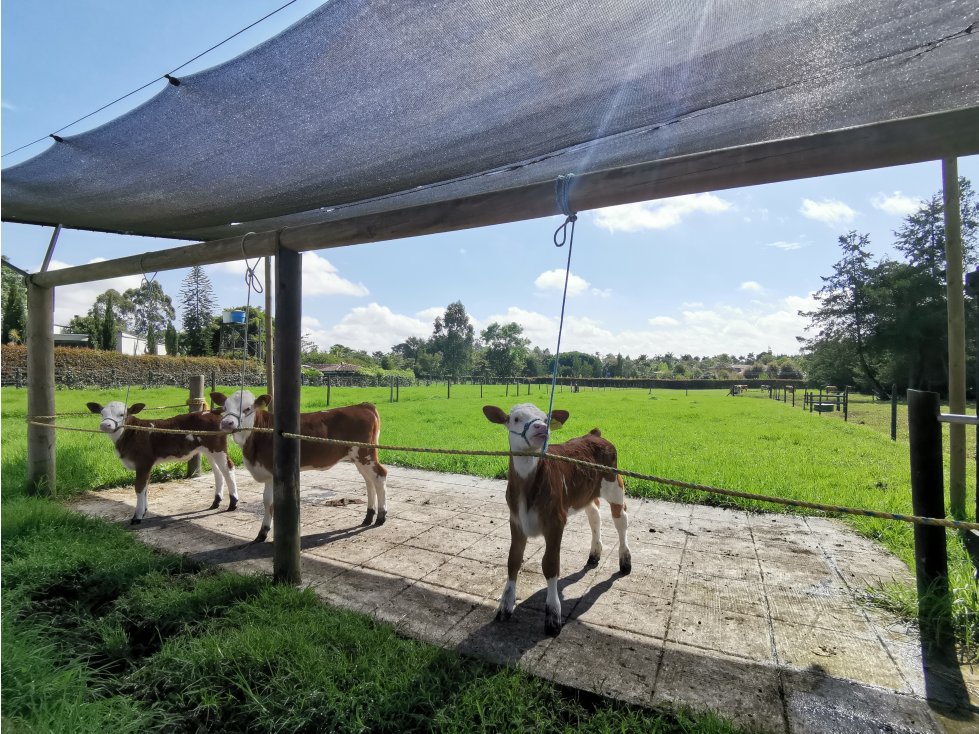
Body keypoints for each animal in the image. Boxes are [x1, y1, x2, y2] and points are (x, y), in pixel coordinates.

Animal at [89, 400, 240, 528]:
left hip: (217, 447)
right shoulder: (147, 465)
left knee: (228, 468)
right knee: (218, 472)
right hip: (208, 450)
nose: (105, 425)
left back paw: (233, 503)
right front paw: (144, 510)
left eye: (122, 414)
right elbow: (146, 487)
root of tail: (212, 412)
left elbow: (139, 487)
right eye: (102, 413)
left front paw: (137, 516)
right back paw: (216, 502)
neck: (131, 432)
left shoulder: (143, 461)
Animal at [212, 394, 388, 544]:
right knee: (369, 481)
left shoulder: (272, 471)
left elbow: (269, 502)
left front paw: (264, 532)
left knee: (380, 476)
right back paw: (369, 516)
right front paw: (263, 532)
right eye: (225, 407)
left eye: (247, 408)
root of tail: (363, 405)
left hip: (365, 454)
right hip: (359, 458)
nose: (227, 423)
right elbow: (268, 502)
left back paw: (381, 516)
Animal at [484, 402, 636, 640]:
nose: (540, 427)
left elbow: (550, 565)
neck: (527, 489)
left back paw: (625, 560)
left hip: (614, 483)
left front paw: (553, 616)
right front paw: (505, 606)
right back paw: (594, 554)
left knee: (621, 521)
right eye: (516, 418)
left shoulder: (555, 522)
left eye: (546, 418)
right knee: (594, 516)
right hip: (585, 493)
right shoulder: (516, 520)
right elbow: (513, 560)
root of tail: (594, 435)